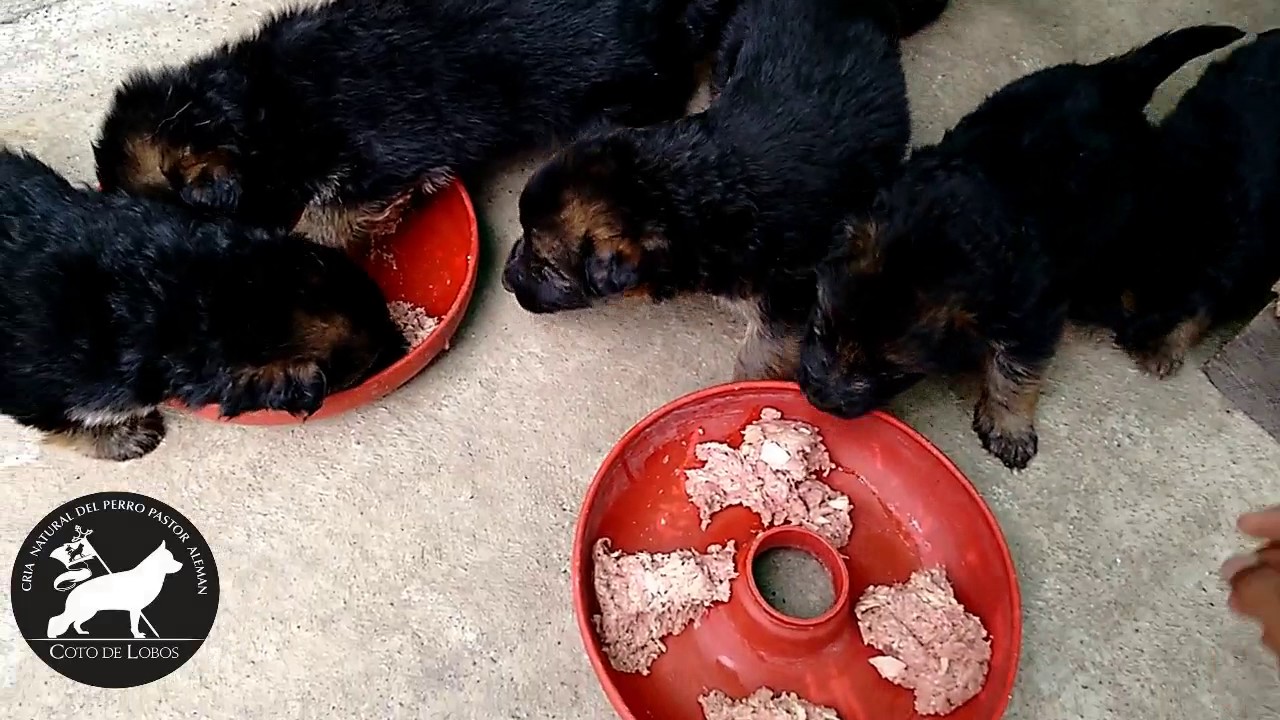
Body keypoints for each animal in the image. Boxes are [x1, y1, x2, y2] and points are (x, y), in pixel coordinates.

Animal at [793, 25, 1244, 468]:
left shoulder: (1031, 316)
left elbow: (1016, 371)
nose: (819, 397)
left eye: (890, 373)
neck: (943, 233)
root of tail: (1116, 78)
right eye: (818, 329)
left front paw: (1008, 427)